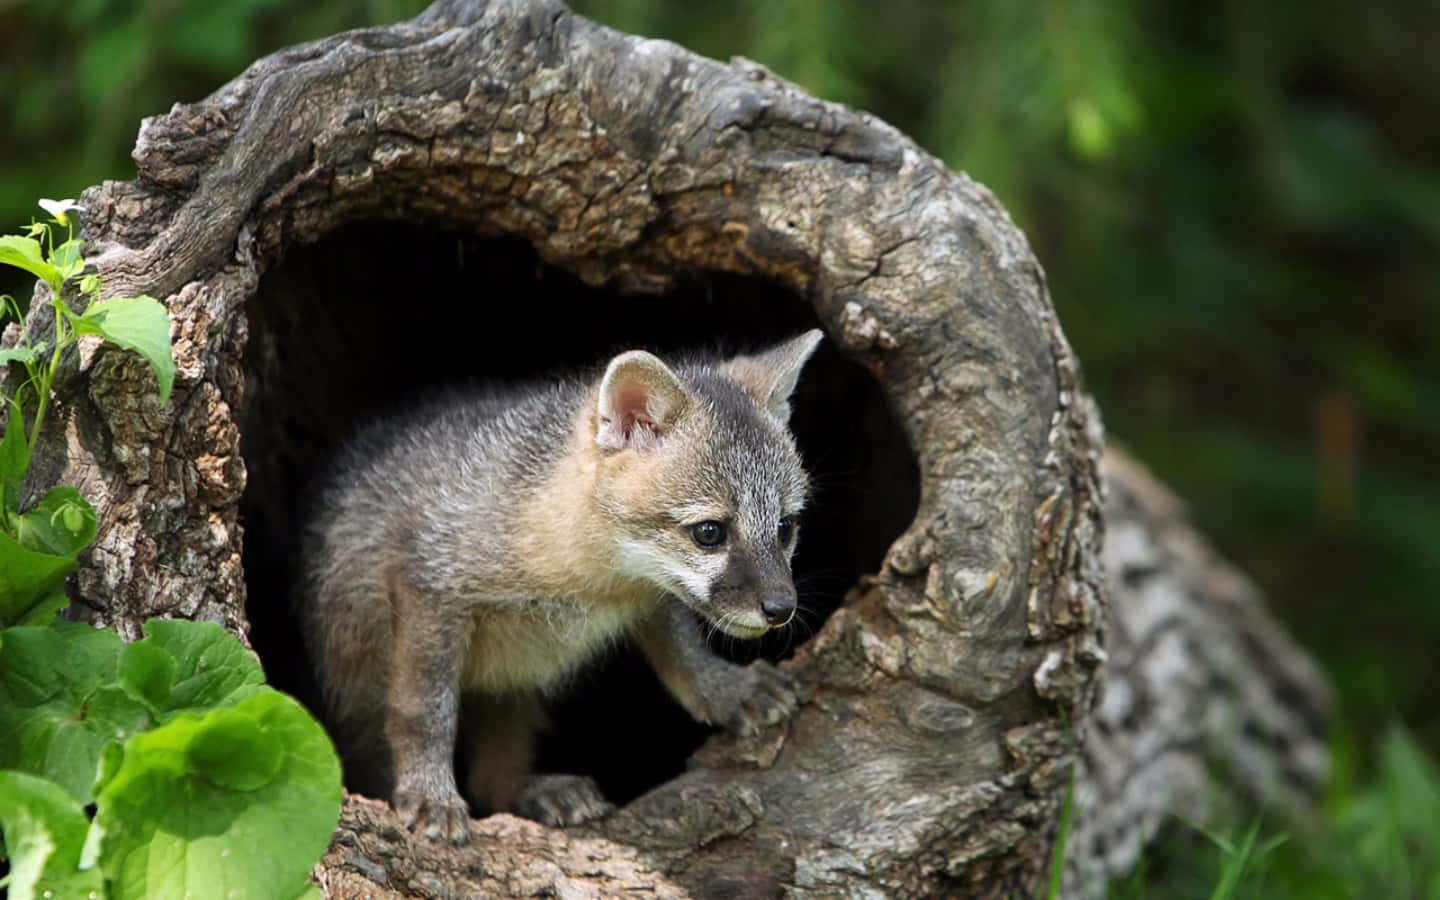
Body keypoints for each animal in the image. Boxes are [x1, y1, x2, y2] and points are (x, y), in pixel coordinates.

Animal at [298, 329, 823, 842]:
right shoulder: (428, 586)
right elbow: (425, 713)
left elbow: (684, 653)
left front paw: (725, 689)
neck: (591, 585)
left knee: (492, 780)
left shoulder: (649, 596)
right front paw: (429, 794)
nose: (782, 608)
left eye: (785, 527)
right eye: (709, 532)